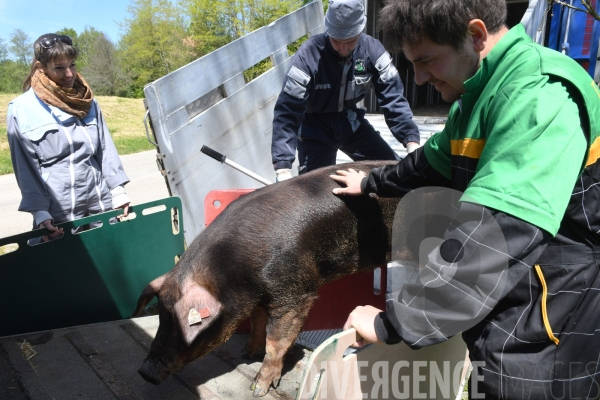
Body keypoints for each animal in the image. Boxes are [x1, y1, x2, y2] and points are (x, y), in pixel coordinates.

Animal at [134, 159, 406, 396]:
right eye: (161, 316)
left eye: (183, 325)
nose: (145, 372)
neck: (233, 271)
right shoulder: (257, 297)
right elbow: (257, 323)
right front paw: (246, 354)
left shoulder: (297, 293)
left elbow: (276, 342)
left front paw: (258, 389)